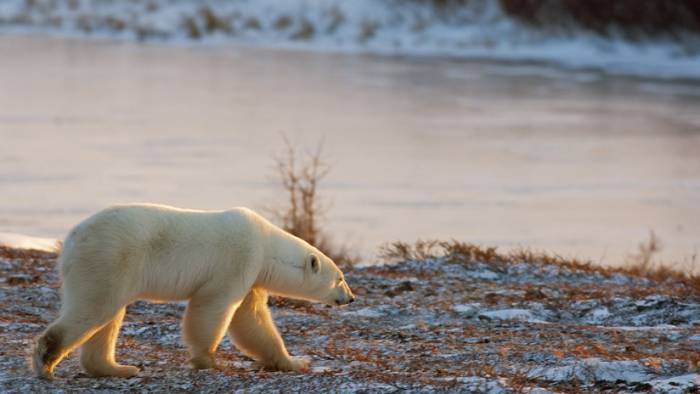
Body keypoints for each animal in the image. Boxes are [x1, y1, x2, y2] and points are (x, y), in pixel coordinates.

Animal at [31, 203, 356, 378]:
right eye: (340, 278)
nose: (351, 297)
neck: (266, 245)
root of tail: (72, 239)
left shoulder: (252, 276)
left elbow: (253, 321)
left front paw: (296, 361)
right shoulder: (238, 260)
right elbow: (214, 308)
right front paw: (209, 360)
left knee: (107, 316)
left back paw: (119, 368)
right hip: (110, 258)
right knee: (95, 308)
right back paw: (45, 363)